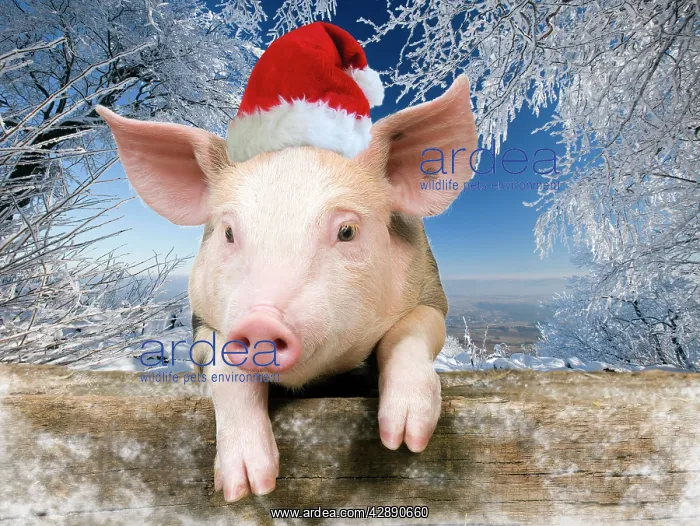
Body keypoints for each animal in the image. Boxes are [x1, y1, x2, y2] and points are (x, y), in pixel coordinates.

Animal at [96, 74, 477, 502]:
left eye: (348, 231)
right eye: (228, 232)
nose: (262, 320)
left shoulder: (431, 291)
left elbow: (412, 328)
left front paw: (404, 440)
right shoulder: (200, 320)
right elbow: (224, 368)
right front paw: (247, 488)